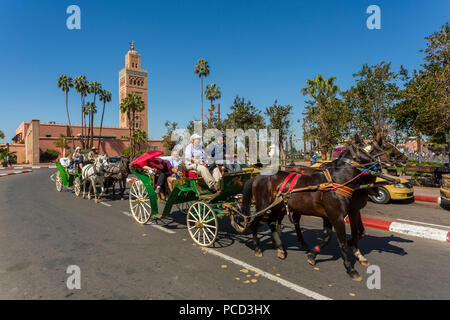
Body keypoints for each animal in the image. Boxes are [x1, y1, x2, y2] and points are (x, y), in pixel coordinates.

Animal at [239, 135, 404, 280]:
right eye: (371, 148)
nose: (400, 159)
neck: (338, 180)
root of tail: (258, 175)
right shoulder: (338, 216)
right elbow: (343, 242)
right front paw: (351, 268)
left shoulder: (331, 215)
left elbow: (328, 237)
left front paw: (313, 255)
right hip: (263, 205)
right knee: (254, 222)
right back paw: (258, 247)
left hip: (277, 207)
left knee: (272, 223)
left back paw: (280, 247)